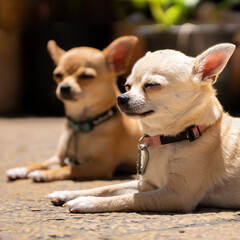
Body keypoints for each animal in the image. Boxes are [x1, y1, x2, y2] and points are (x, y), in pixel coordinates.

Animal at [6, 35, 142, 182]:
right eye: (57, 75)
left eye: (87, 76)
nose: (64, 87)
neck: (80, 126)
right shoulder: (59, 158)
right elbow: (40, 163)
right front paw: (21, 169)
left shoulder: (100, 165)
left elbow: (70, 169)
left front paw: (44, 174)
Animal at [47, 42, 240, 212]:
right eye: (126, 86)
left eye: (152, 85)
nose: (121, 98)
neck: (166, 139)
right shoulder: (146, 184)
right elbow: (107, 188)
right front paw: (68, 193)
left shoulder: (176, 195)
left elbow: (127, 199)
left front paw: (86, 202)